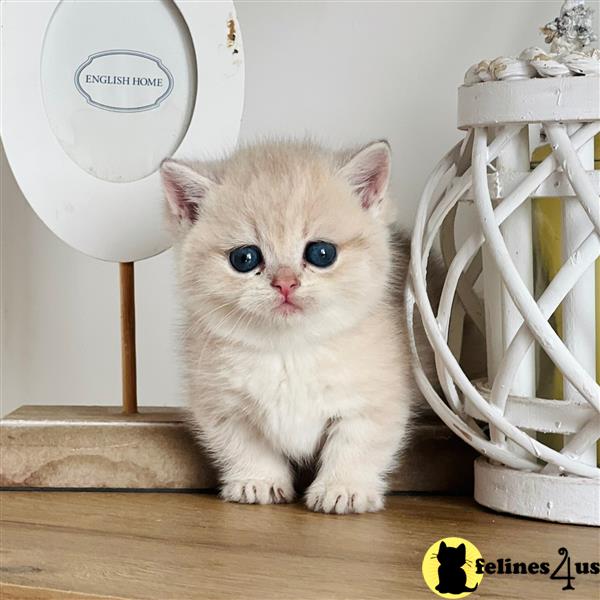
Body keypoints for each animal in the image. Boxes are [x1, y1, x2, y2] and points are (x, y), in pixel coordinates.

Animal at [162, 141, 438, 516]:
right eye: (245, 258)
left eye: (321, 253)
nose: (286, 283)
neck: (289, 349)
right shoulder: (223, 405)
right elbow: (245, 445)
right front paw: (258, 481)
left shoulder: (375, 401)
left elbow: (357, 446)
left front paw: (343, 488)